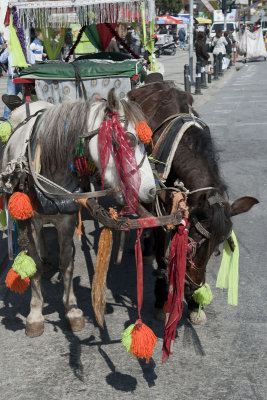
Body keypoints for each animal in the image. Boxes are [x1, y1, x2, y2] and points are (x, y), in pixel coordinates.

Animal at [129, 79, 258, 324]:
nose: (192, 287)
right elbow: (162, 255)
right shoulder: (160, 209)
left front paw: (195, 304)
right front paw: (161, 300)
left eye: (217, 248)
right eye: (191, 242)